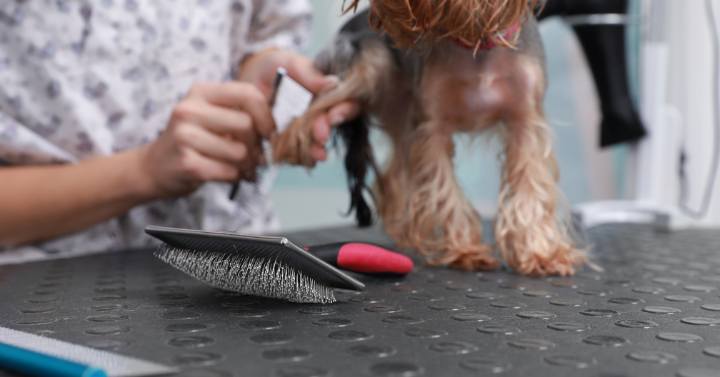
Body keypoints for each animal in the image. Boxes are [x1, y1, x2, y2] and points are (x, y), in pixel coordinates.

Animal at [270, 0, 584, 276]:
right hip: (367, 65)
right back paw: (292, 141)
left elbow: (530, 187)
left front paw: (540, 254)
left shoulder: (526, 122)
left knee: (393, 176)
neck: (474, 39)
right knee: (318, 101)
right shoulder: (432, 126)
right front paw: (465, 251)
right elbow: (444, 190)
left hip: (401, 114)